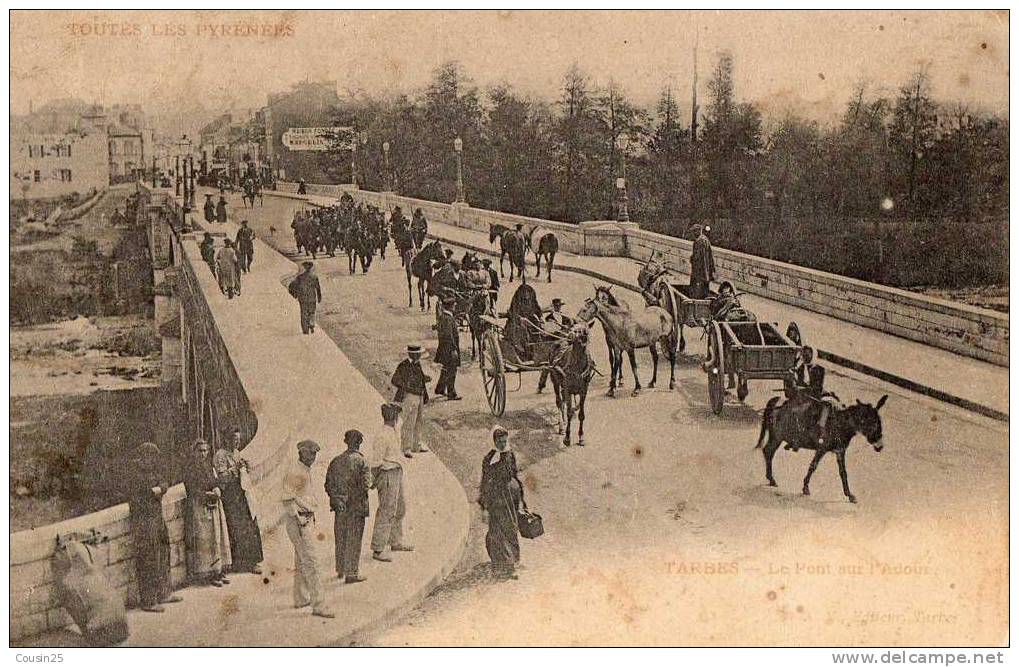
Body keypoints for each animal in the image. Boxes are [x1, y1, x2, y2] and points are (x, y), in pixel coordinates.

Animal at [754, 393, 888, 503]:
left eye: (879, 422)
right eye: (873, 423)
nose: (880, 446)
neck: (839, 424)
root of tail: (777, 402)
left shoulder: (840, 451)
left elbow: (843, 473)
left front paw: (849, 495)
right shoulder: (822, 449)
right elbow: (813, 466)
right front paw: (805, 488)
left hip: (776, 437)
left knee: (767, 452)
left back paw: (771, 479)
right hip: (777, 437)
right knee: (768, 452)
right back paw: (771, 479)